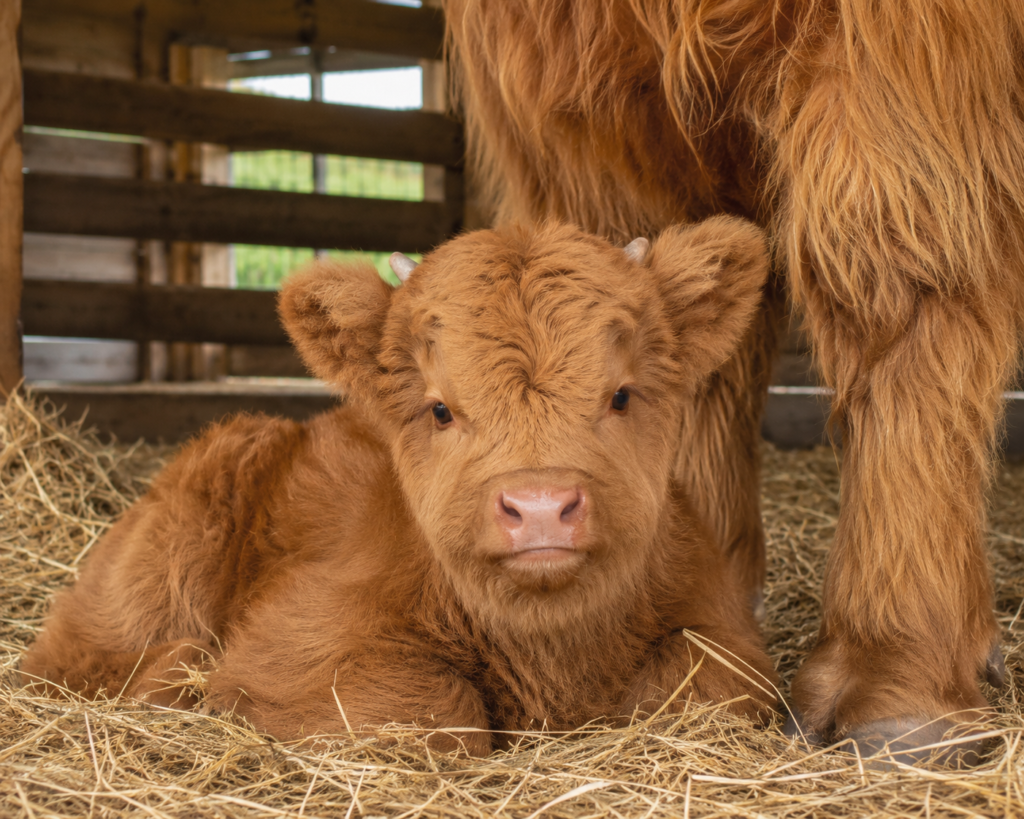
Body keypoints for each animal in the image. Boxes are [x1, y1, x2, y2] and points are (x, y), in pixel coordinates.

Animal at [20, 220, 778, 754]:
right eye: (441, 408)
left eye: (620, 395)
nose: (539, 509)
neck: (550, 654)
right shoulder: (295, 646)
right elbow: (434, 708)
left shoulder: (727, 632)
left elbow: (695, 682)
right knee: (70, 658)